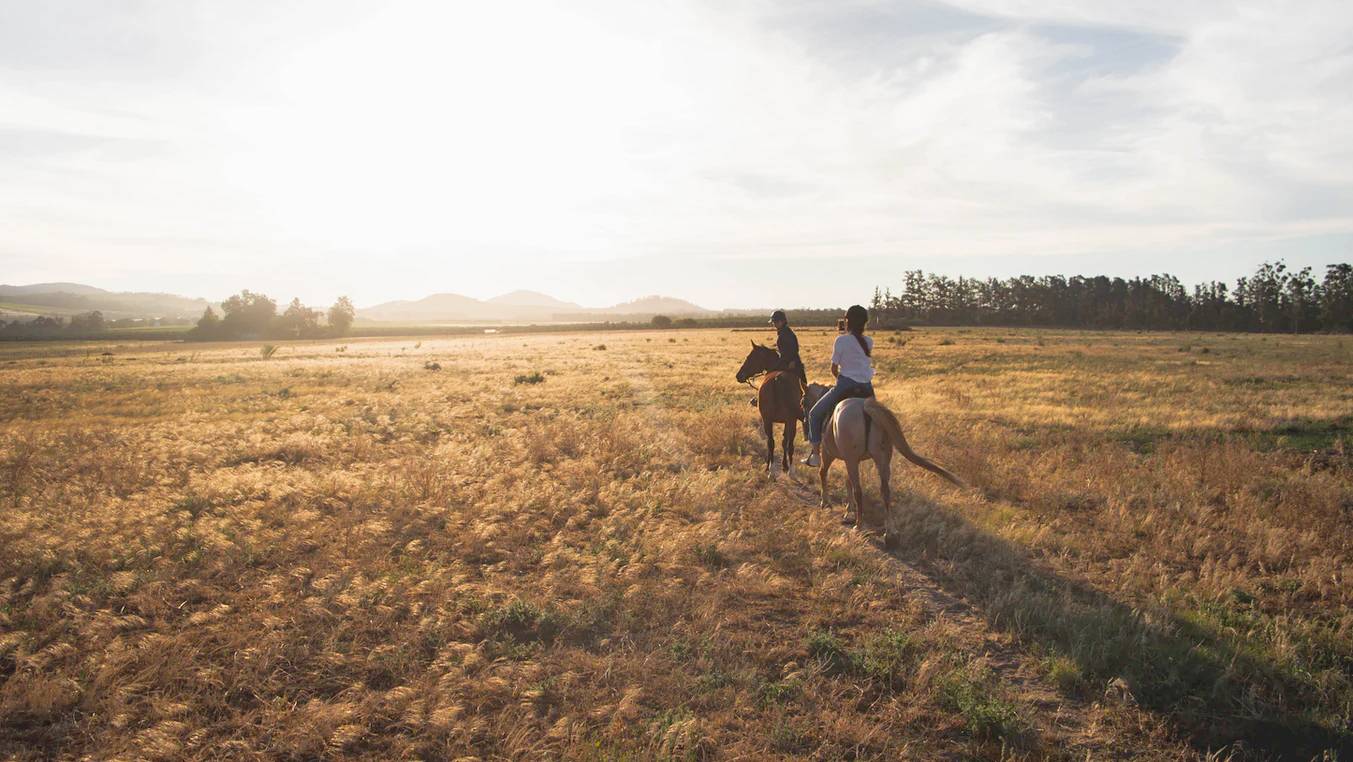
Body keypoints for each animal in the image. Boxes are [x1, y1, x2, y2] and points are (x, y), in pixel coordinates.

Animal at [741, 343, 800, 476]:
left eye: (749, 357)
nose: (739, 375)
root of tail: (777, 379)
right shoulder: (787, 421)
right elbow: (784, 441)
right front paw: (784, 466)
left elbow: (779, 441)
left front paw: (775, 465)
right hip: (789, 420)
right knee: (787, 443)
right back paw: (788, 470)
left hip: (770, 419)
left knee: (771, 442)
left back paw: (772, 469)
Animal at [800, 384, 963, 546]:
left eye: (803, 403)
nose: (805, 428)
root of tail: (864, 406)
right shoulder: (852, 460)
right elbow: (847, 482)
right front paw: (848, 511)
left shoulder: (831, 454)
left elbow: (823, 473)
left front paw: (826, 503)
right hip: (882, 459)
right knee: (885, 491)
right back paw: (890, 533)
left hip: (852, 458)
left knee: (858, 490)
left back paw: (859, 526)